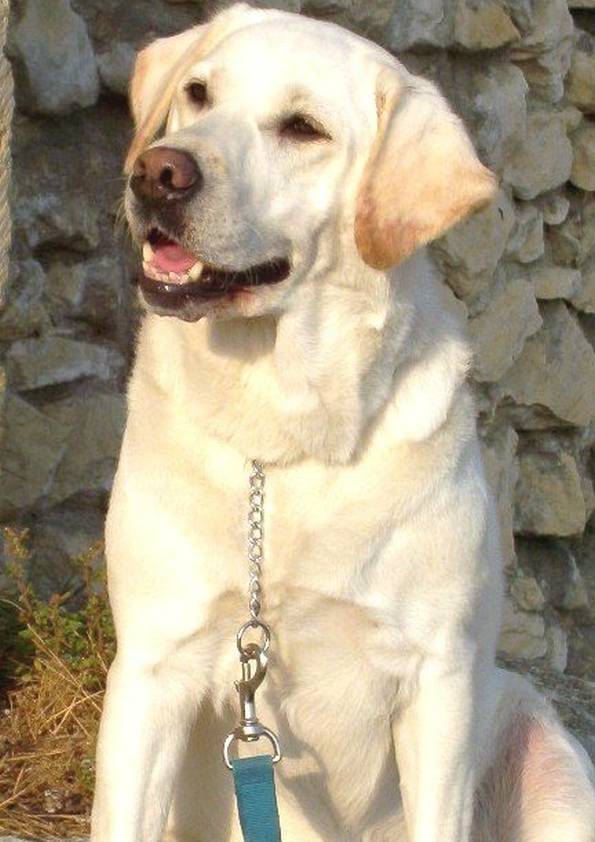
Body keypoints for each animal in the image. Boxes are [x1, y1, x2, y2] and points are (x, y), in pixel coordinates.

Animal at [91, 4, 595, 841]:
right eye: (197, 93)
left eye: (303, 128)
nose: (157, 172)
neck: (282, 434)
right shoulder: (153, 669)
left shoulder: (436, 678)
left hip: (548, 756)